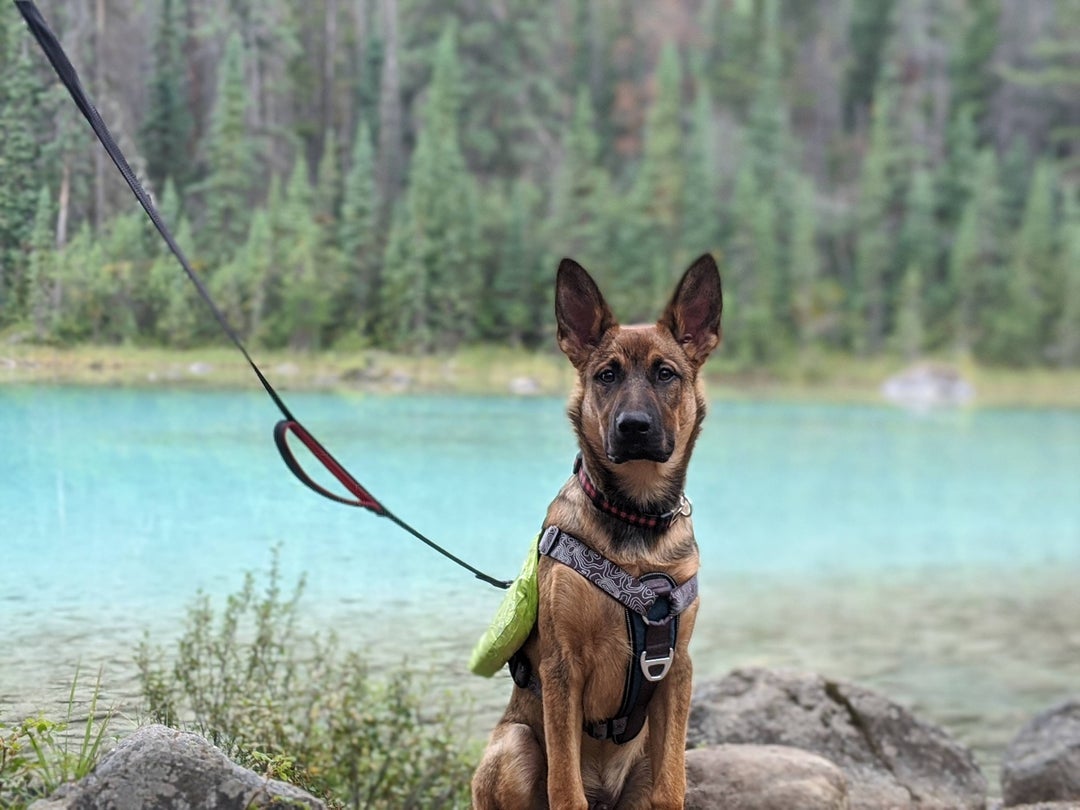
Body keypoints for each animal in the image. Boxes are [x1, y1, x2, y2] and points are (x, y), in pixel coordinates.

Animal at [475, 254, 721, 810]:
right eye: (607, 375)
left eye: (666, 373)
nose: (633, 426)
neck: (635, 518)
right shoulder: (562, 667)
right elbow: (565, 789)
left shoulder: (678, 670)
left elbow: (672, 788)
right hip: (516, 745)